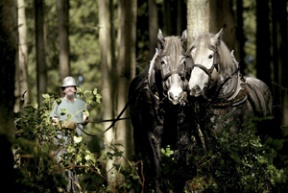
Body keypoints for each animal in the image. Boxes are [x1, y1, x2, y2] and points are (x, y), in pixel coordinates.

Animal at [129, 29, 195, 192]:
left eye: (184, 62)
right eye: (163, 62)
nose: (176, 95)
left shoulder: (183, 138)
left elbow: (179, 171)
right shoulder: (152, 137)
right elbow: (157, 170)